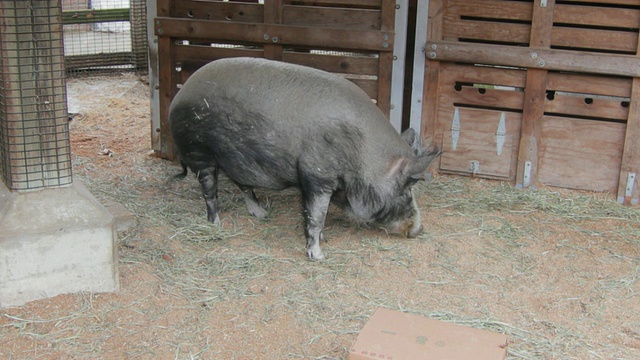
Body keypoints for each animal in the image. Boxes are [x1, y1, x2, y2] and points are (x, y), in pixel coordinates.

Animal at [170, 57, 440, 258]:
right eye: (409, 188)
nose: (419, 230)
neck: (362, 156)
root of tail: (179, 95)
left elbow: (319, 215)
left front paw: (325, 240)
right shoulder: (316, 176)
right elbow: (316, 215)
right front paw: (318, 255)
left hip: (235, 159)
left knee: (243, 185)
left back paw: (261, 214)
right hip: (199, 151)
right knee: (210, 192)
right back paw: (215, 224)